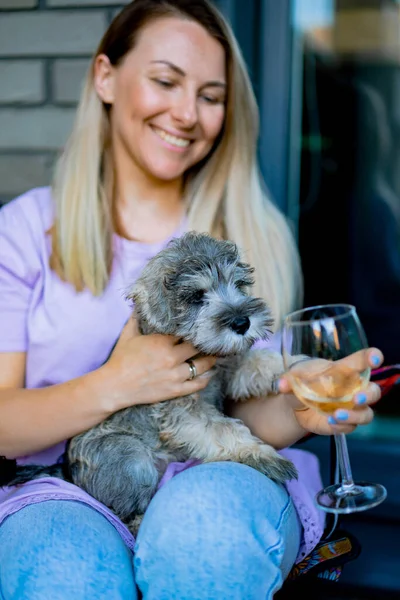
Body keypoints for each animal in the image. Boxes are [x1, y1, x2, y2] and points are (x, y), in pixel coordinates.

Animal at [0, 231, 296, 536]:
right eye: (197, 296)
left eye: (239, 285)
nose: (242, 322)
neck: (199, 351)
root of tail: (68, 472)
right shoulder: (182, 411)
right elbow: (222, 429)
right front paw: (259, 454)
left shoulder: (225, 369)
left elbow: (254, 361)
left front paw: (295, 365)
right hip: (132, 459)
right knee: (125, 510)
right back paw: (140, 521)